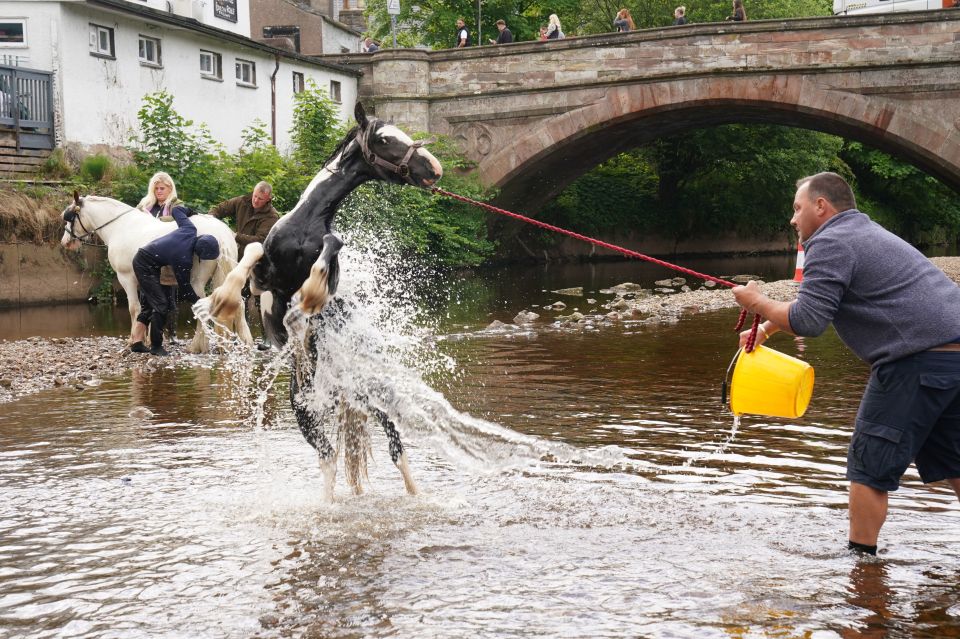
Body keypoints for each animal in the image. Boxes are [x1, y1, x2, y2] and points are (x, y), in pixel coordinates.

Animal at [58, 195, 249, 356]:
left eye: (69, 217)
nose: (65, 242)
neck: (121, 227)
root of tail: (221, 234)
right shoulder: (146, 282)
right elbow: (147, 310)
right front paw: (147, 340)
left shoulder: (127, 278)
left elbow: (134, 309)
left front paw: (134, 341)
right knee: (238, 304)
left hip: (196, 282)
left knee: (202, 309)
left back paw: (197, 346)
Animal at [210, 102, 442, 500]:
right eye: (385, 139)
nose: (434, 168)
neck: (305, 225)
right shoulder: (262, 282)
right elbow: (251, 253)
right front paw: (222, 299)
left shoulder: (325, 255)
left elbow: (333, 245)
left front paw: (312, 293)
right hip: (306, 410)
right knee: (330, 457)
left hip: (368, 402)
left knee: (391, 449)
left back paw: (415, 496)